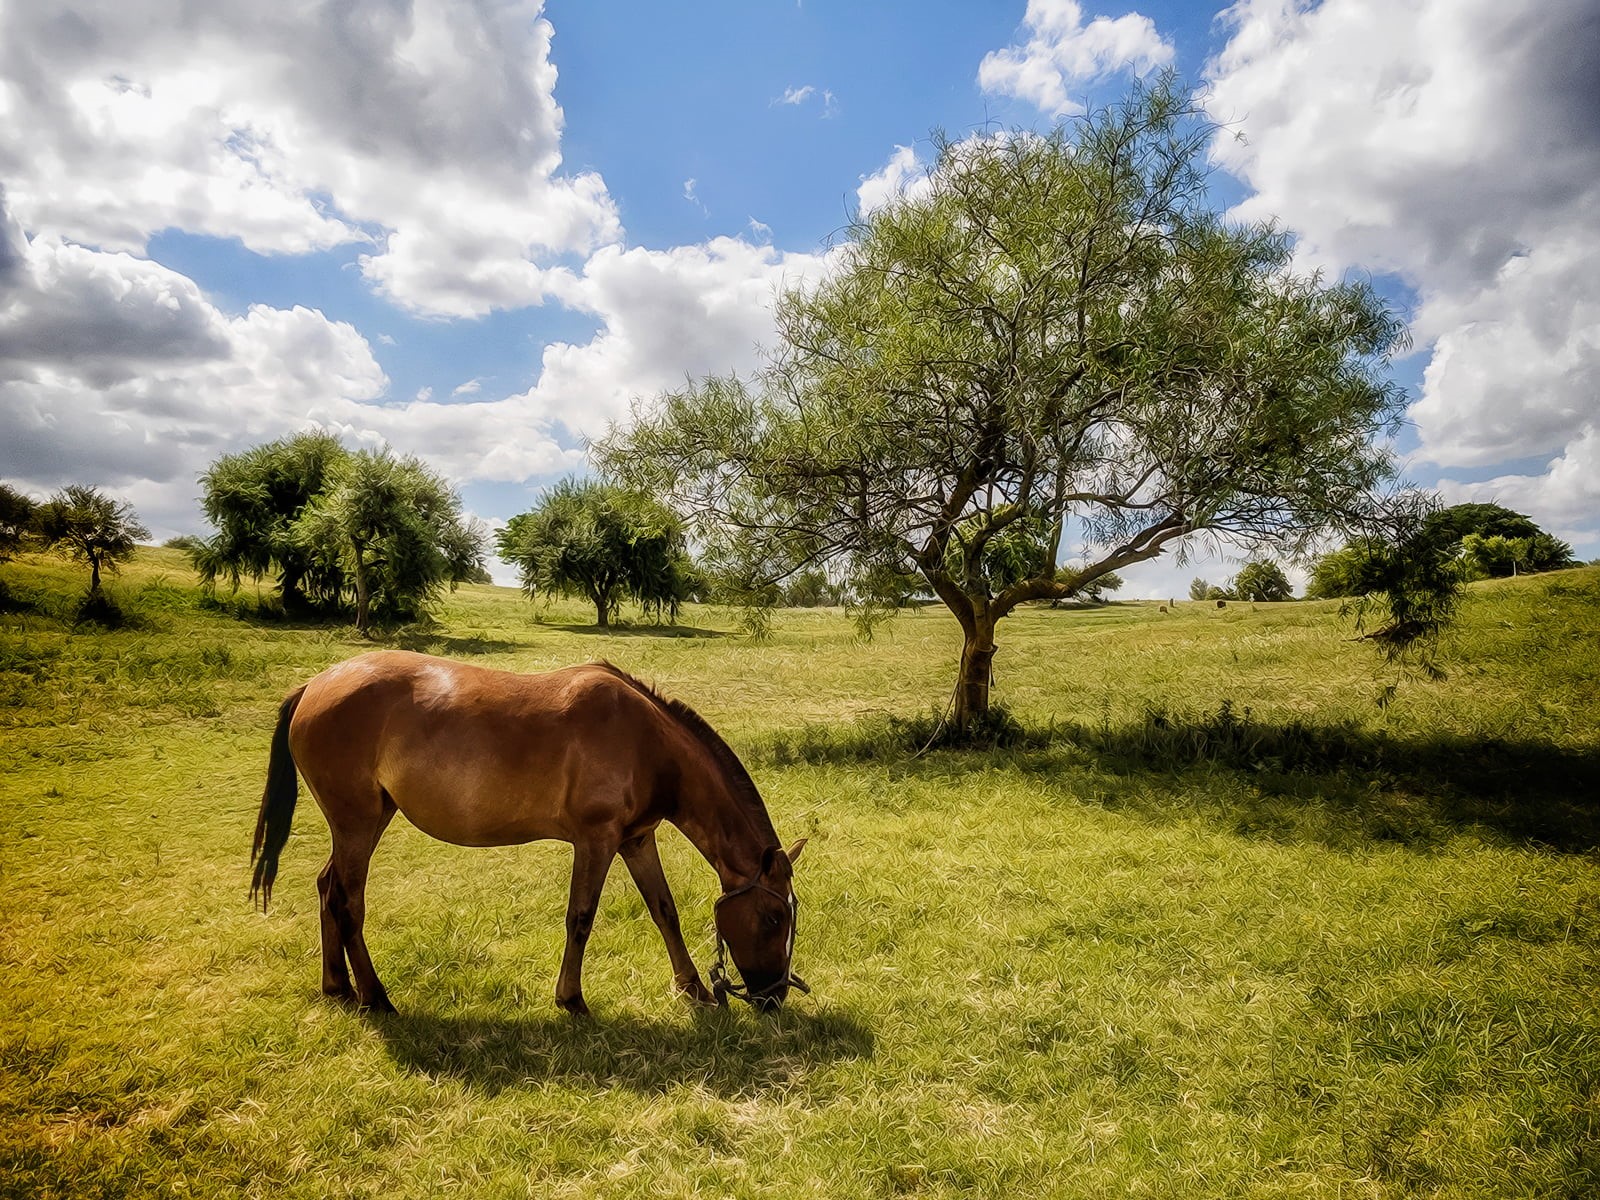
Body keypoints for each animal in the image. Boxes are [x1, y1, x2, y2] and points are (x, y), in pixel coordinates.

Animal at [251, 651, 807, 1015]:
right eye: (773, 917)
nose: (774, 996)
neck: (648, 743)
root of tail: (314, 686)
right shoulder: (597, 841)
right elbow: (581, 917)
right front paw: (572, 999)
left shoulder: (636, 840)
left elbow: (663, 910)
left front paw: (692, 988)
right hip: (358, 824)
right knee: (346, 902)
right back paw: (375, 997)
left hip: (362, 823)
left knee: (328, 888)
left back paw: (338, 988)